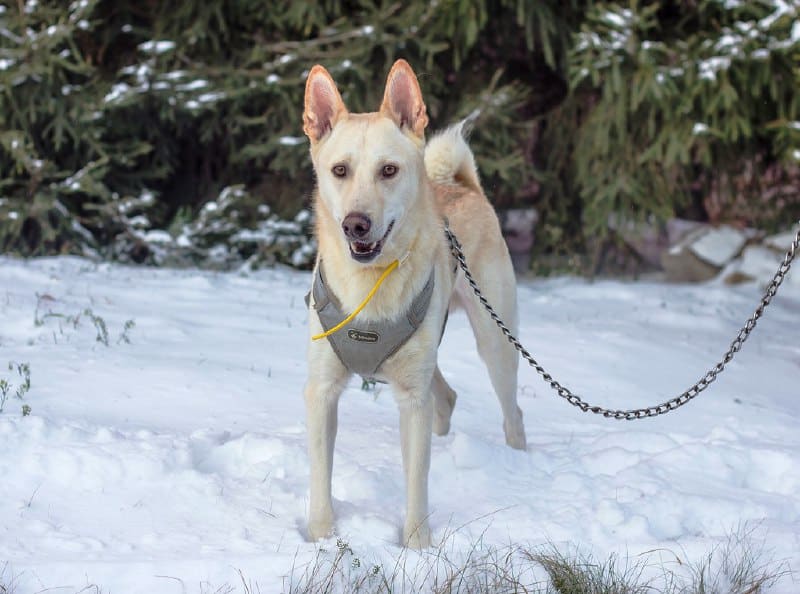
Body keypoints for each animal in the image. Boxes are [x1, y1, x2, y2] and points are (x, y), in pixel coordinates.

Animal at [302, 59, 524, 544]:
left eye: (389, 170)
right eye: (340, 170)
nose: (355, 225)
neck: (369, 288)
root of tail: (463, 186)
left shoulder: (411, 400)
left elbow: (416, 482)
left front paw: (417, 547)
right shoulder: (322, 391)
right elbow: (320, 479)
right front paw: (321, 539)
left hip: (495, 343)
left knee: (511, 411)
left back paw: (521, 463)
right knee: (448, 397)